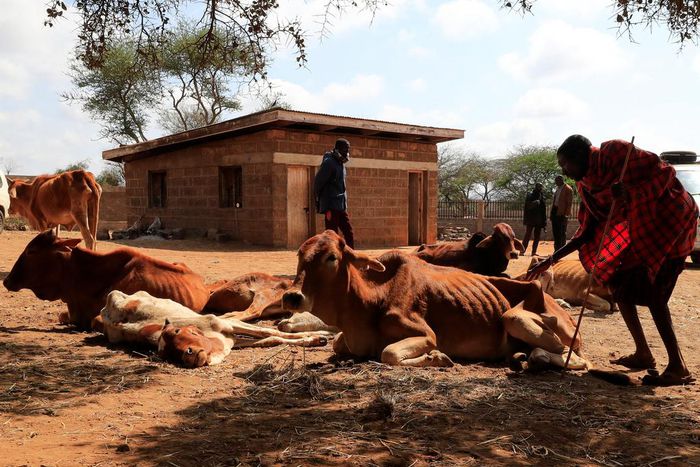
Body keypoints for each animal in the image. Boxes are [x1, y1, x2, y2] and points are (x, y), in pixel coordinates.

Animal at [100, 290, 332, 367]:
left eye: (177, 332)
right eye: (167, 354)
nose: (188, 355)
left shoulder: (227, 324)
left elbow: (270, 333)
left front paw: (318, 336)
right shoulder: (234, 340)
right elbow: (272, 339)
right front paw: (315, 338)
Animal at [281, 230, 588, 370]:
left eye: (331, 257)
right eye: (299, 254)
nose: (292, 297)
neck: (372, 300)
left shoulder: (425, 334)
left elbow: (388, 353)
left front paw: (438, 357)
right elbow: (337, 342)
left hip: (516, 318)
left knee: (574, 357)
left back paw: (534, 357)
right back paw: (520, 356)